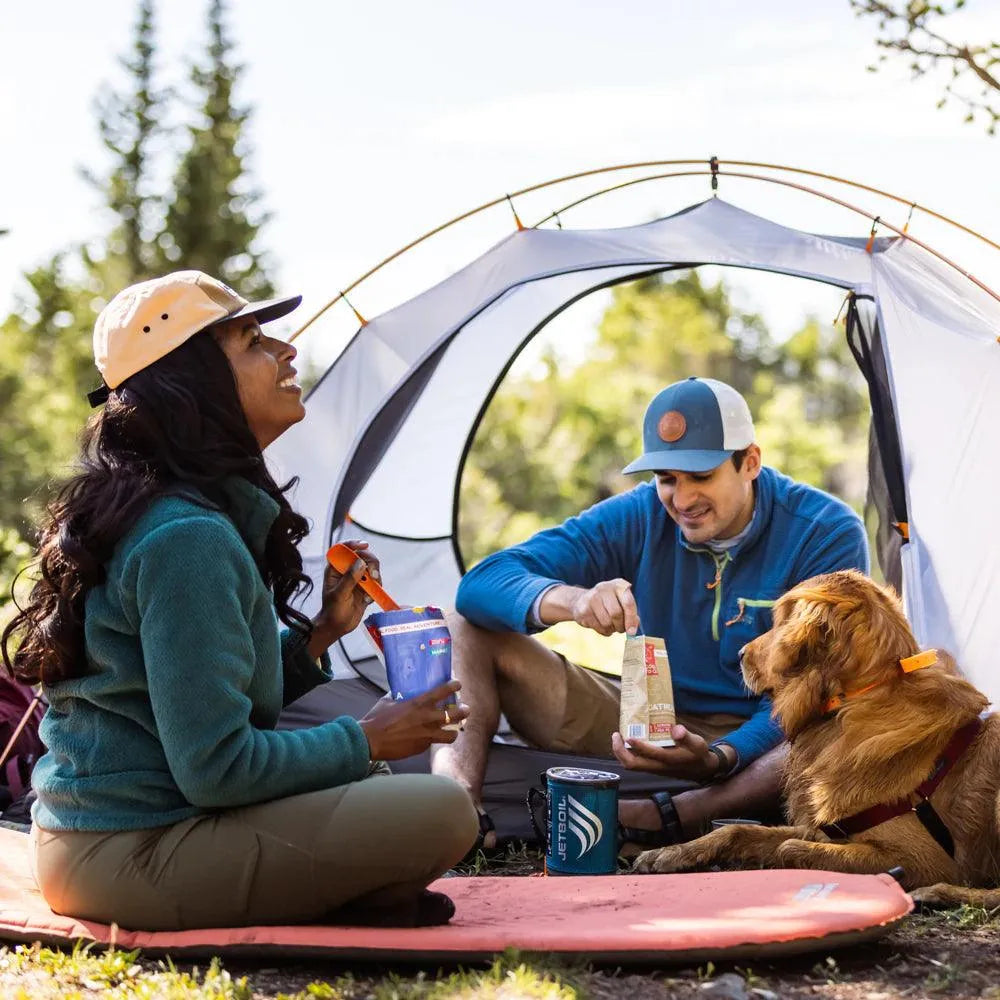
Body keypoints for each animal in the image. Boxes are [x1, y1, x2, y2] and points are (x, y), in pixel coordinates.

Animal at [636, 572, 1000, 908]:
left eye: (780, 622)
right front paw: (671, 851)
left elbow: (789, 848)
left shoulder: (924, 859)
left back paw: (940, 894)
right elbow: (735, 830)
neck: (850, 703)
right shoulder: (823, 827)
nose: (739, 654)